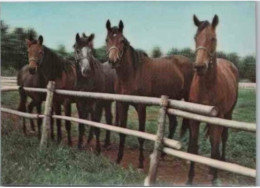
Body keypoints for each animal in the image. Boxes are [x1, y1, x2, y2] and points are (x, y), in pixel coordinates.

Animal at [105, 19, 193, 168]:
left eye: (122, 41)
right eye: (107, 40)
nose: (113, 61)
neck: (132, 74)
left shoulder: (141, 107)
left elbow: (141, 134)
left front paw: (140, 162)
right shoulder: (122, 105)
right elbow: (122, 131)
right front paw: (119, 158)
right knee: (173, 123)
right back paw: (162, 155)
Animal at [183, 15, 240, 185]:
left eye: (213, 38)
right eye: (195, 37)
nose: (199, 66)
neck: (207, 86)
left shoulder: (218, 118)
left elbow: (214, 147)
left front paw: (214, 178)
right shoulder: (195, 118)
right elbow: (194, 148)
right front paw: (190, 178)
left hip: (228, 114)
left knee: (223, 138)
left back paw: (220, 163)